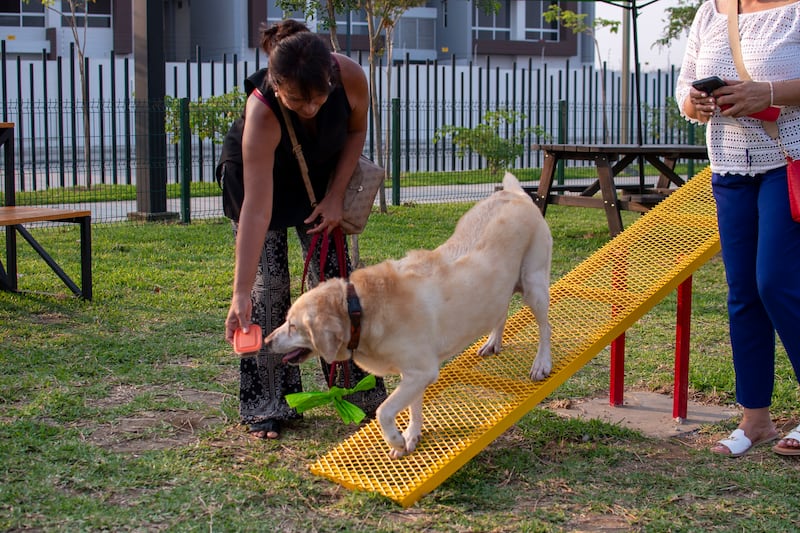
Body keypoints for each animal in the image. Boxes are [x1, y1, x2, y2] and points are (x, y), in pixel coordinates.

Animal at [262, 171, 552, 458]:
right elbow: (413, 405)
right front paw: (412, 436)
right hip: (498, 291)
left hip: (534, 284)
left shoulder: (421, 371)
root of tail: (514, 193)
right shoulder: (412, 373)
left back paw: (542, 364)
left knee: (545, 327)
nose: (266, 341)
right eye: (286, 321)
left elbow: (384, 411)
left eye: (292, 326)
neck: (361, 310)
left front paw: (396, 440)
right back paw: (493, 342)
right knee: (500, 312)